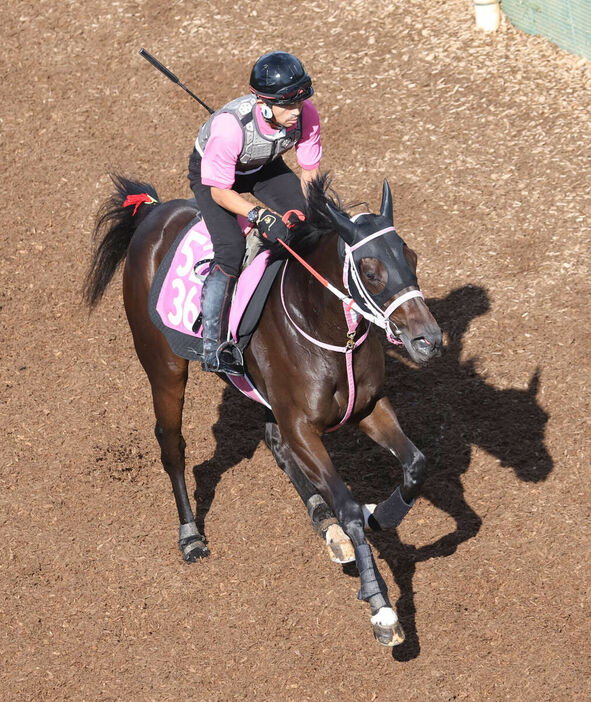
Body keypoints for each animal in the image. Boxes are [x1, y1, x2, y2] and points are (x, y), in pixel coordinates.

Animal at [84, 176, 444, 648]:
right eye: (370, 271)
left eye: (412, 257)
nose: (429, 341)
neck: (328, 330)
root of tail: (152, 211)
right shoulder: (302, 426)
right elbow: (347, 505)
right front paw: (381, 608)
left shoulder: (367, 407)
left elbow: (415, 464)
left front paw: (379, 516)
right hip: (164, 366)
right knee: (172, 445)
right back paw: (191, 535)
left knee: (275, 443)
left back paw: (325, 523)